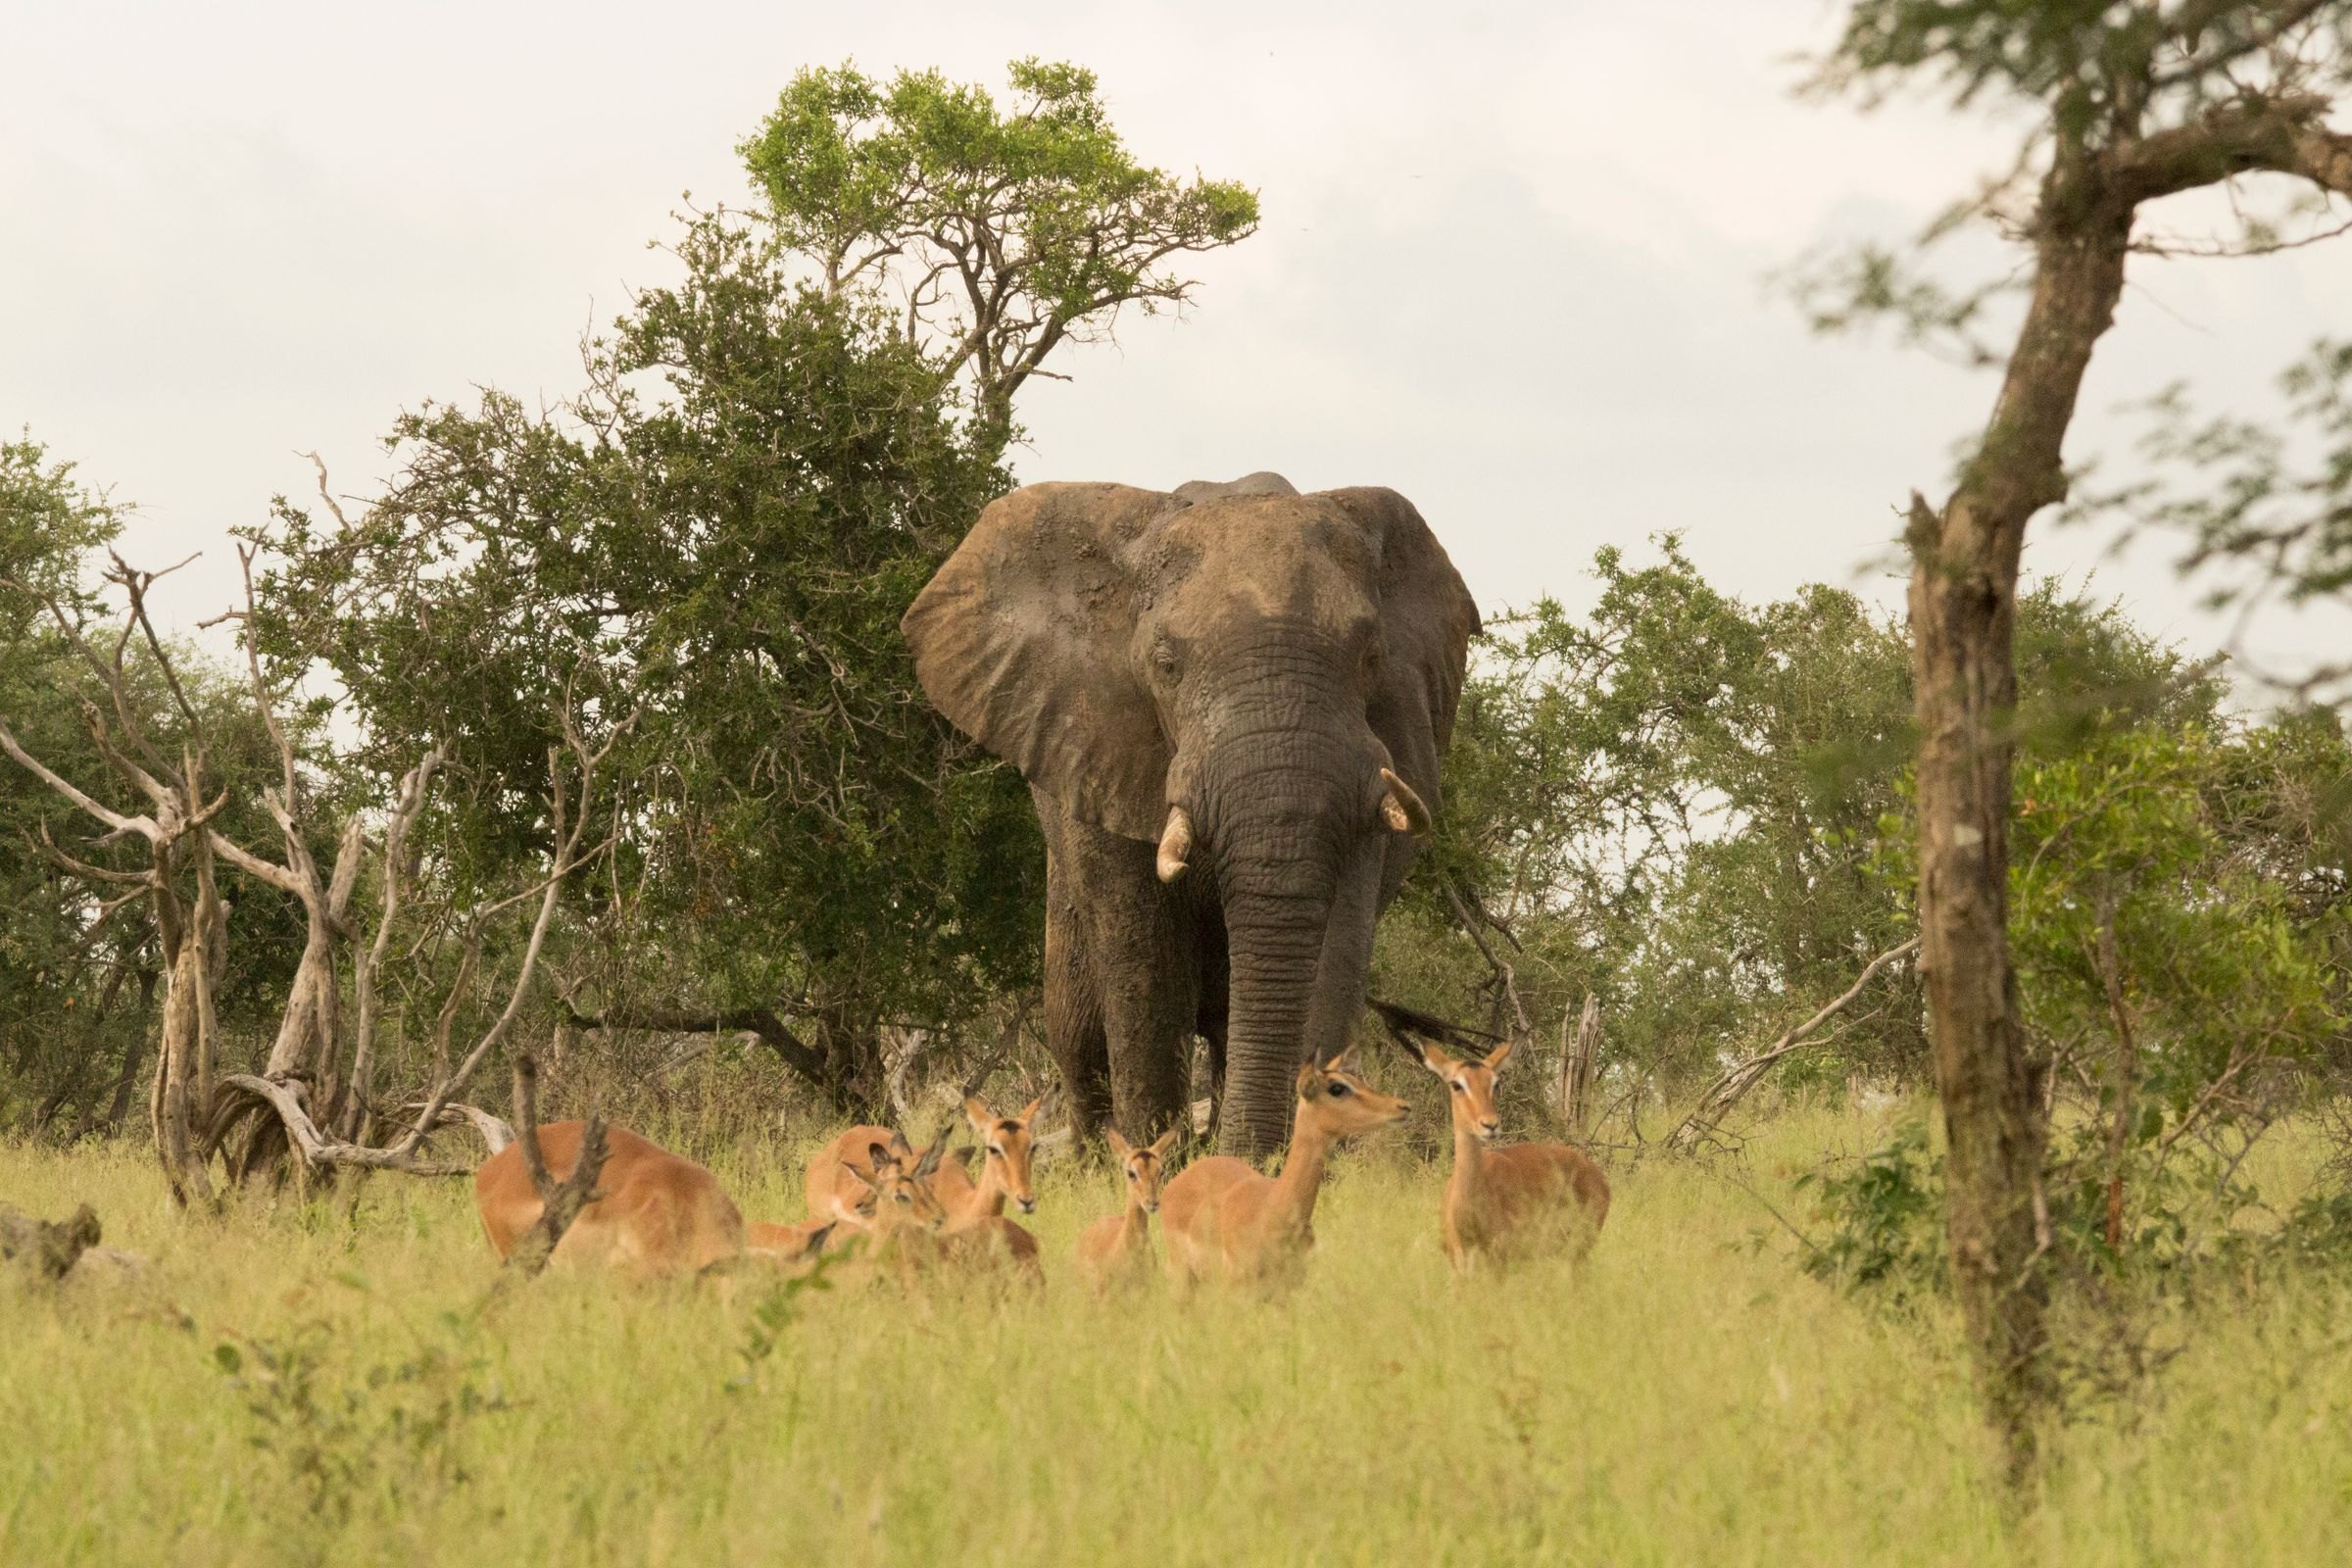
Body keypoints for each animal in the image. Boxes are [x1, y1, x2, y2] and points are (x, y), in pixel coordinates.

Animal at [901, 473, 1479, 1157]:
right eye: (1166, 664)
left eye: (1369, 656)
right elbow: (1145, 970)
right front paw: (1158, 1163)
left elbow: (1335, 950)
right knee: (1077, 1028)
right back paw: (1094, 1158)